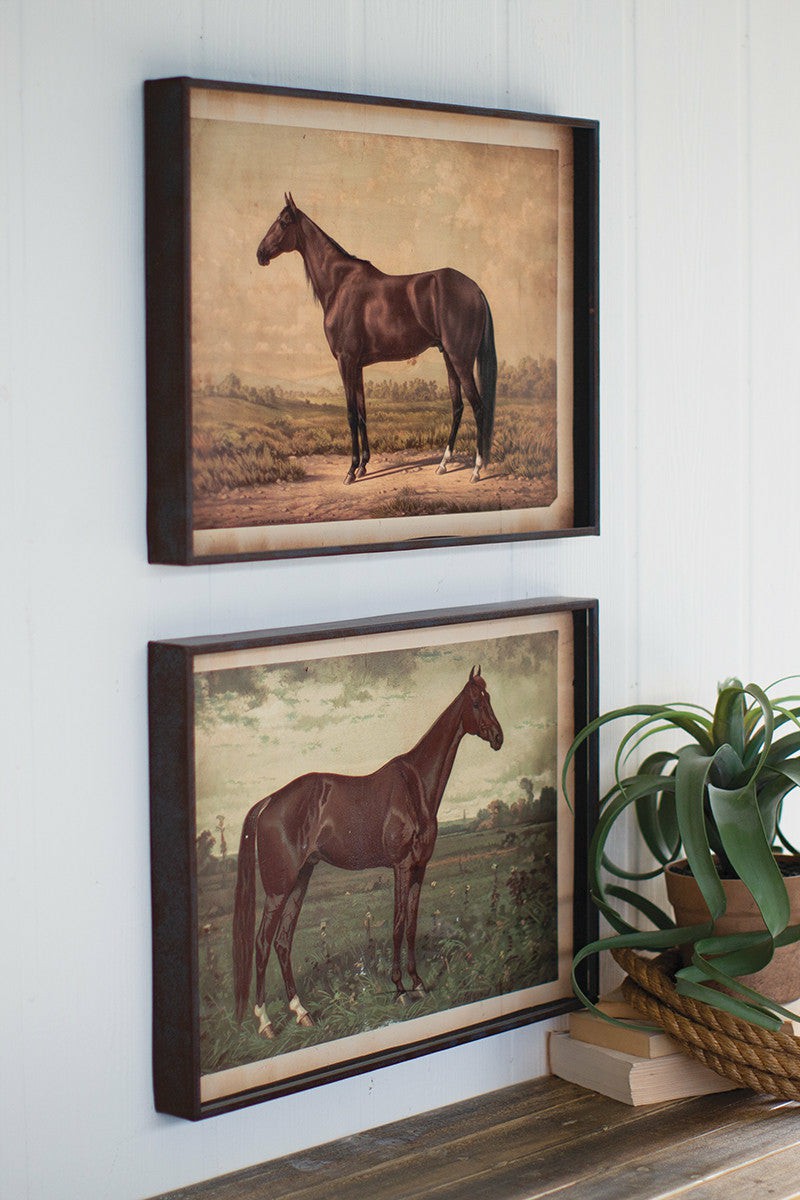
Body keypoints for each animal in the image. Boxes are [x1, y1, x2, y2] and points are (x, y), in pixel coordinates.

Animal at [235, 672, 503, 1036]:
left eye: (489, 698)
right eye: (476, 702)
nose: (498, 737)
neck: (415, 786)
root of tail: (268, 803)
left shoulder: (420, 868)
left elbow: (412, 925)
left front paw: (418, 983)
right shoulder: (402, 866)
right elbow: (398, 923)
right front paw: (400, 989)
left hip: (301, 880)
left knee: (282, 942)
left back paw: (301, 1012)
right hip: (279, 888)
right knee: (263, 944)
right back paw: (266, 1022)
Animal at [257, 192, 494, 482]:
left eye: (283, 222)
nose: (260, 253)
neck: (340, 284)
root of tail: (475, 289)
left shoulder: (345, 361)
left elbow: (350, 414)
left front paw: (351, 471)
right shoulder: (357, 365)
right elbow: (362, 413)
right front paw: (363, 465)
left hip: (461, 359)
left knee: (478, 407)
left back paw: (476, 469)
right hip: (449, 357)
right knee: (458, 406)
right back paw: (443, 464)